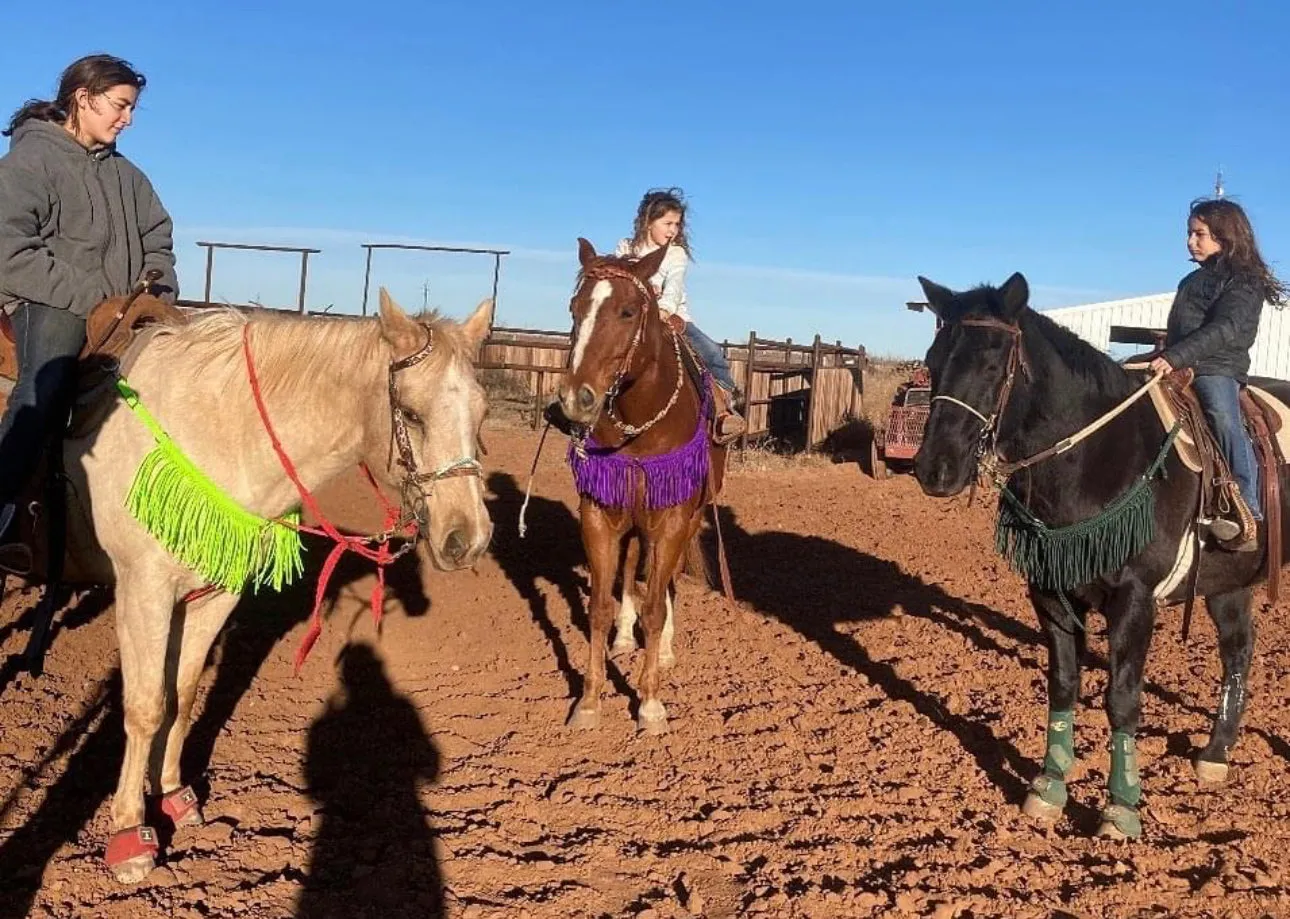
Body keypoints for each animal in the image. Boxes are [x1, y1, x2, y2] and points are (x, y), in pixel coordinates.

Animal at [31, 290, 492, 877]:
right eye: (410, 413)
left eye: (482, 412)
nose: (469, 538)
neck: (213, 429)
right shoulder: (143, 590)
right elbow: (145, 705)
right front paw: (130, 837)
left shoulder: (213, 594)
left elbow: (182, 692)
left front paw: (175, 797)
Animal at [546, 237, 722, 733]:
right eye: (574, 308)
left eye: (627, 311)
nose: (576, 398)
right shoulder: (600, 513)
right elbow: (599, 607)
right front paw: (589, 701)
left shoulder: (672, 518)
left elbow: (656, 605)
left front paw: (650, 703)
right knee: (628, 575)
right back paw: (627, 638)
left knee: (666, 584)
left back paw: (663, 650)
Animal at [918, 271, 1290, 841]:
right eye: (934, 359)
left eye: (991, 365)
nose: (934, 469)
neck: (1096, 457)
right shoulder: (1050, 593)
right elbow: (1064, 685)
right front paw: (1049, 785)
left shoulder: (1134, 601)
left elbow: (1122, 698)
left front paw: (1121, 807)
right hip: (1228, 582)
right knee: (1238, 650)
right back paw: (1215, 754)